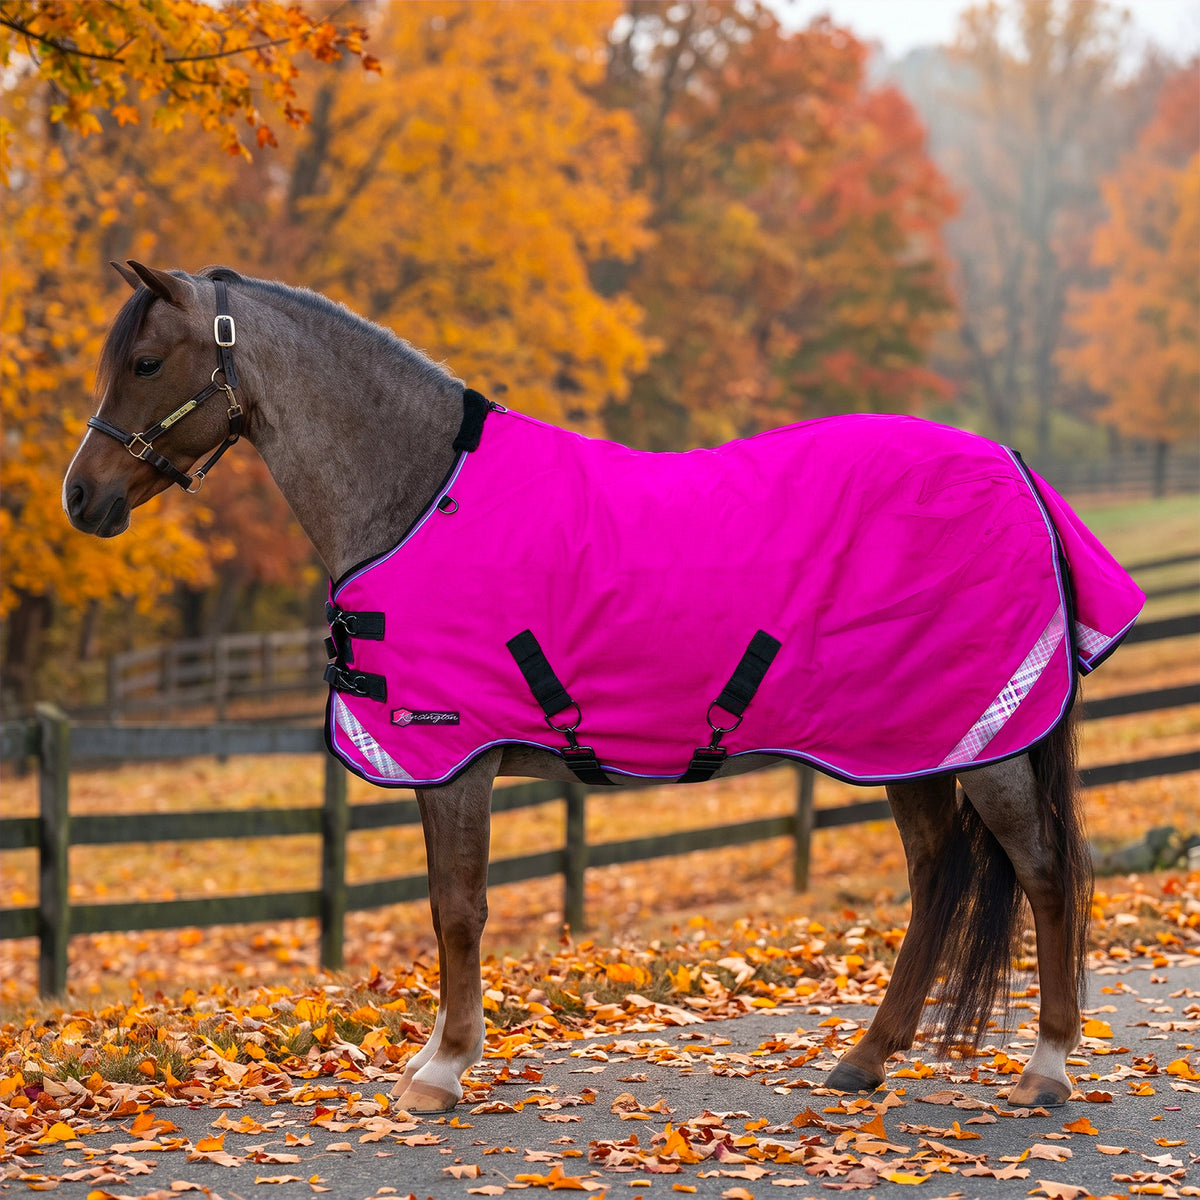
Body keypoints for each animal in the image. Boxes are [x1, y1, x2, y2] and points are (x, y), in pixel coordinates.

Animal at [63, 261, 1143, 1115]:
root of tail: (1014, 469)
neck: (417, 494)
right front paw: (436, 1059)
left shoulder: (453, 754)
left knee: (1044, 874)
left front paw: (441, 1071)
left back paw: (1046, 1067)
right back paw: (866, 1058)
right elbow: (447, 906)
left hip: (985, 742)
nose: (82, 497)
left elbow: (457, 909)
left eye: (147, 362)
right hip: (911, 743)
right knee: (935, 876)